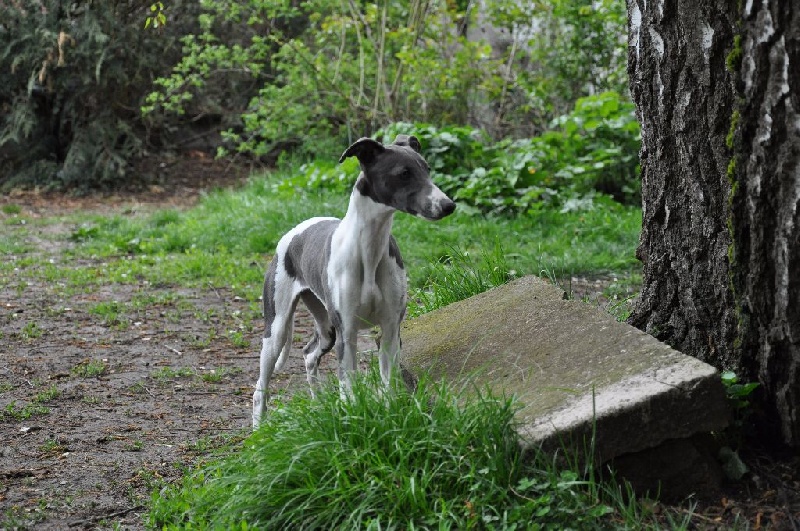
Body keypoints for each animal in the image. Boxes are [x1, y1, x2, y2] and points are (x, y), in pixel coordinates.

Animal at [256, 136, 456, 428]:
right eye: (404, 173)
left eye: (427, 169)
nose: (448, 205)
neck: (369, 251)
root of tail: (293, 232)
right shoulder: (347, 334)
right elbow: (348, 389)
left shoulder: (390, 330)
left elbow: (388, 386)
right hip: (278, 329)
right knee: (261, 388)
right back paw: (257, 429)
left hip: (326, 329)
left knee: (308, 354)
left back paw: (318, 403)